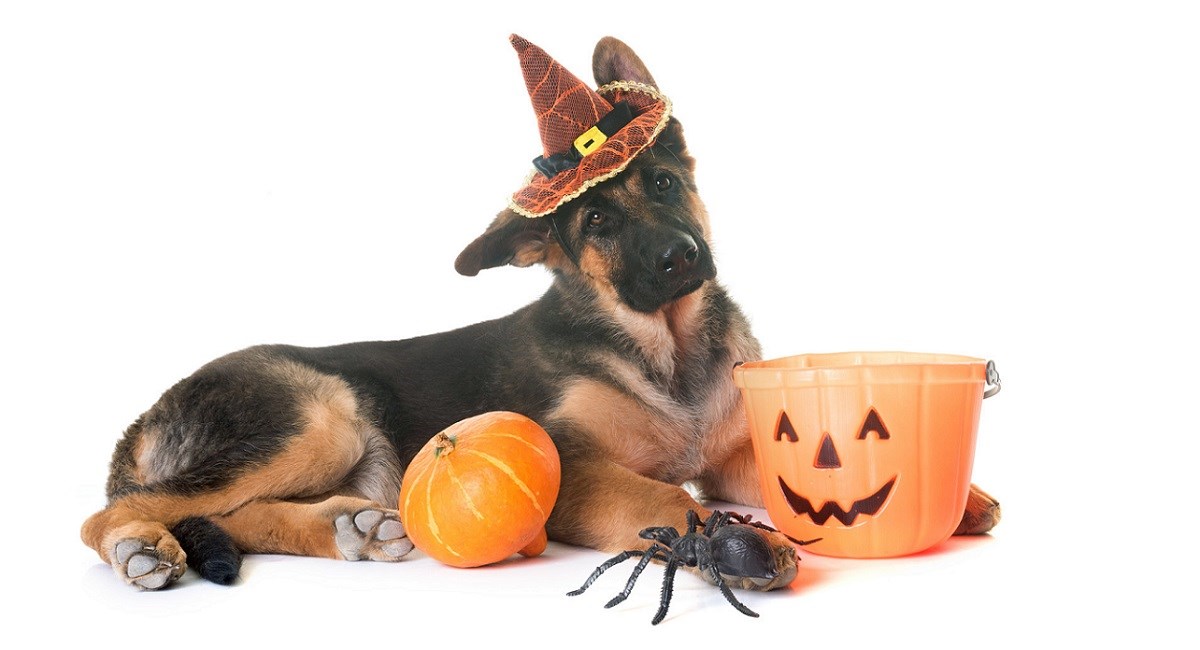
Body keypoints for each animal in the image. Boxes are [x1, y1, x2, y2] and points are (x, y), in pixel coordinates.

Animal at [84, 36, 998, 597]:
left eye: (662, 182)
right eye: (595, 222)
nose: (679, 259)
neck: (664, 348)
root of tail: (142, 417)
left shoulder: (736, 455)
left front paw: (961, 495)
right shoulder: (576, 469)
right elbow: (658, 498)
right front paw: (732, 544)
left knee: (233, 514)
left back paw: (353, 527)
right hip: (318, 416)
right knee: (116, 514)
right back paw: (144, 550)